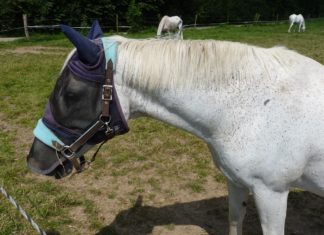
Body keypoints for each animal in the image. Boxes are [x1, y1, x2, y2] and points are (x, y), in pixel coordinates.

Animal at [28, 21, 324, 234]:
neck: (254, 108)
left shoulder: (272, 194)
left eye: (70, 94)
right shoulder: (236, 183)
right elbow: (234, 220)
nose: (33, 161)